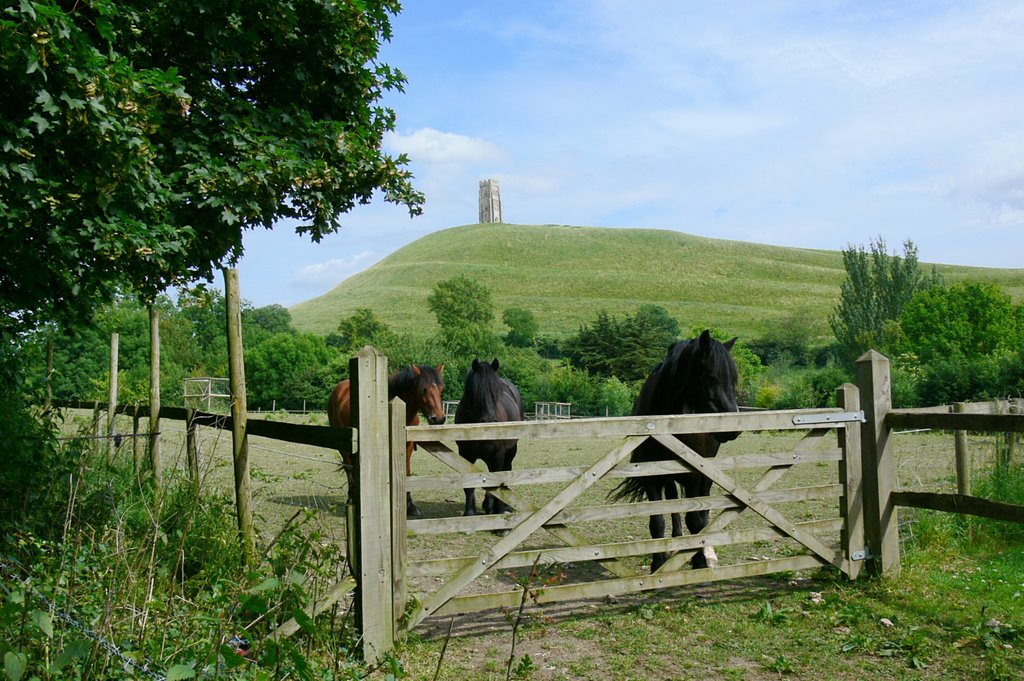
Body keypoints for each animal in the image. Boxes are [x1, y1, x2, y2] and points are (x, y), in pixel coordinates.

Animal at [325, 364, 442, 518]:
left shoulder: (408, 445)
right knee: (348, 468)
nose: (438, 418)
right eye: (423, 389)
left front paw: (410, 506)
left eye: (441, 388)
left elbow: (406, 472)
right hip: (344, 444)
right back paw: (351, 497)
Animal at [454, 358, 524, 512]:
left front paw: (499, 510)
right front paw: (469, 512)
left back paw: (503, 506)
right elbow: (469, 486)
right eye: (475, 392)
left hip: (510, 451)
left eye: (495, 391)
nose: (489, 421)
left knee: (506, 470)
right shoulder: (465, 454)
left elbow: (497, 482)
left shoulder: (497, 455)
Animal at [610, 331, 741, 569]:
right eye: (711, 375)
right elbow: (657, 521)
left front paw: (700, 561)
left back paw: (707, 552)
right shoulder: (651, 477)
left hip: (705, 475)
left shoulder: (694, 476)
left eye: (733, 379)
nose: (732, 428)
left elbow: (696, 520)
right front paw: (658, 562)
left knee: (704, 511)